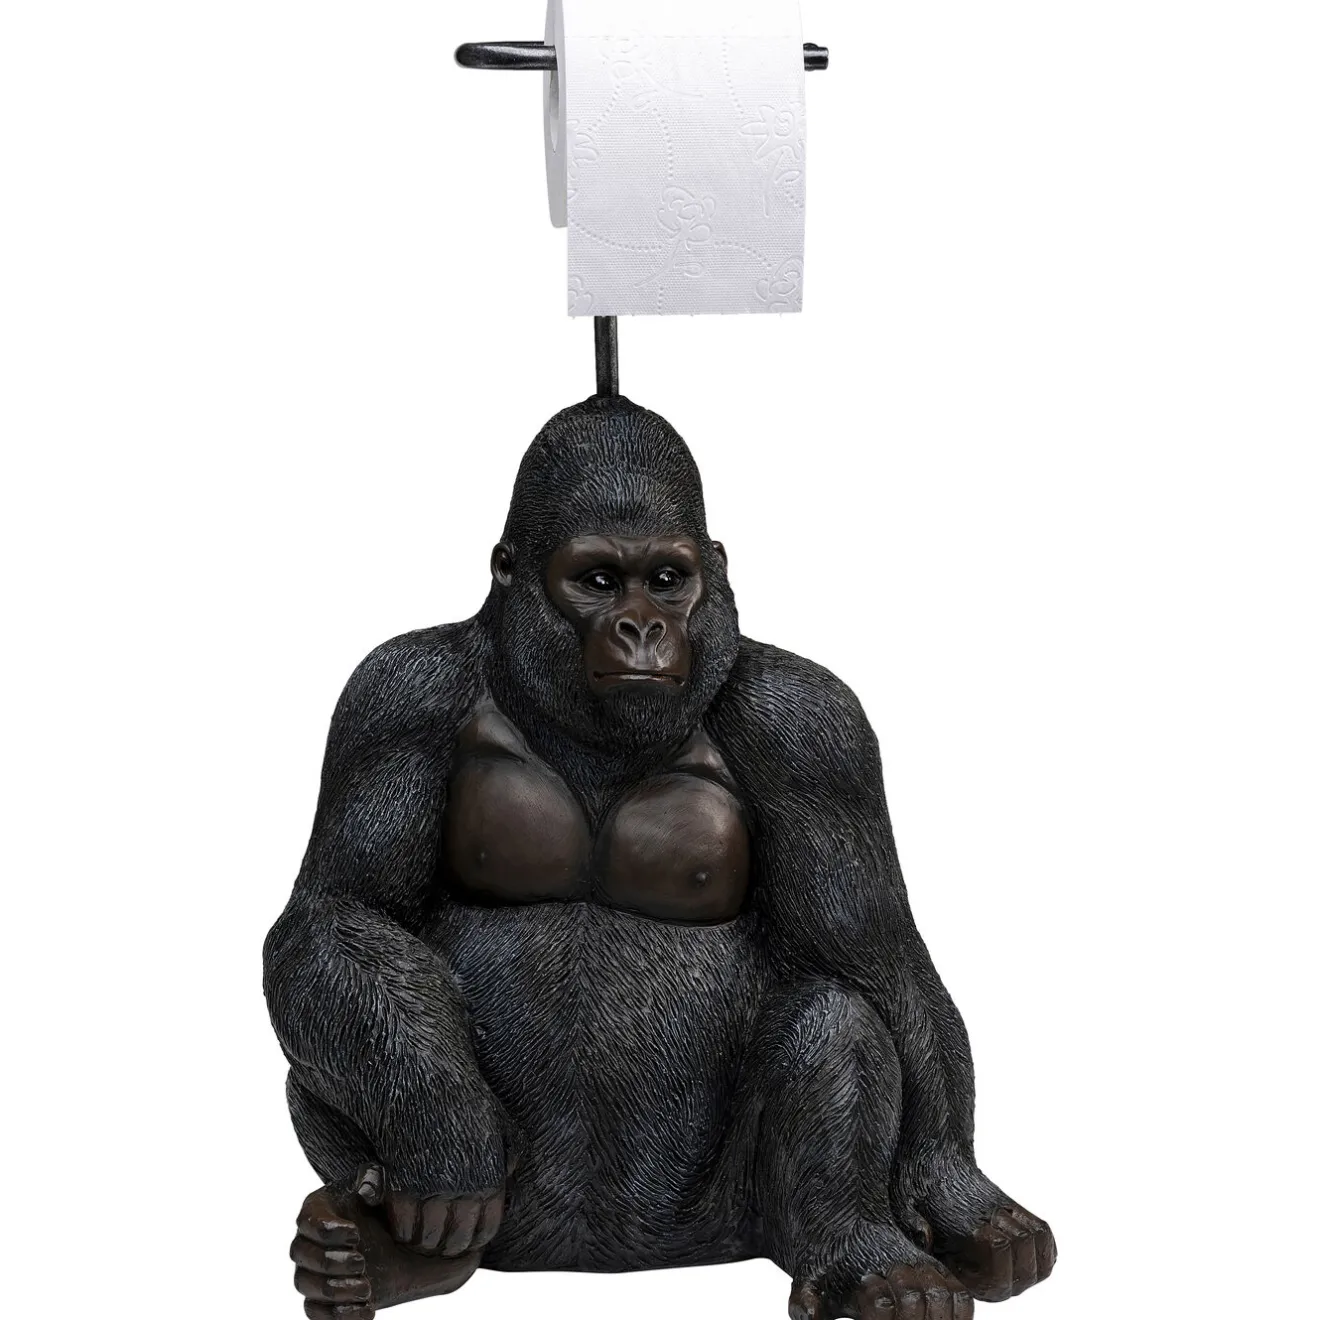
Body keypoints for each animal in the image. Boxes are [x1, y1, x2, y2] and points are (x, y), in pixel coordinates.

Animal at [264, 395, 1056, 1320]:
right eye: (599, 581)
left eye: (669, 580)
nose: (642, 628)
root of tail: (602, 1267)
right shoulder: (391, 695)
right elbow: (339, 912)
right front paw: (444, 1136)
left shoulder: (815, 728)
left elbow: (877, 956)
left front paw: (960, 1196)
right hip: (522, 1225)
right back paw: (392, 1255)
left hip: (724, 1227)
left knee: (836, 1019)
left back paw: (864, 1257)